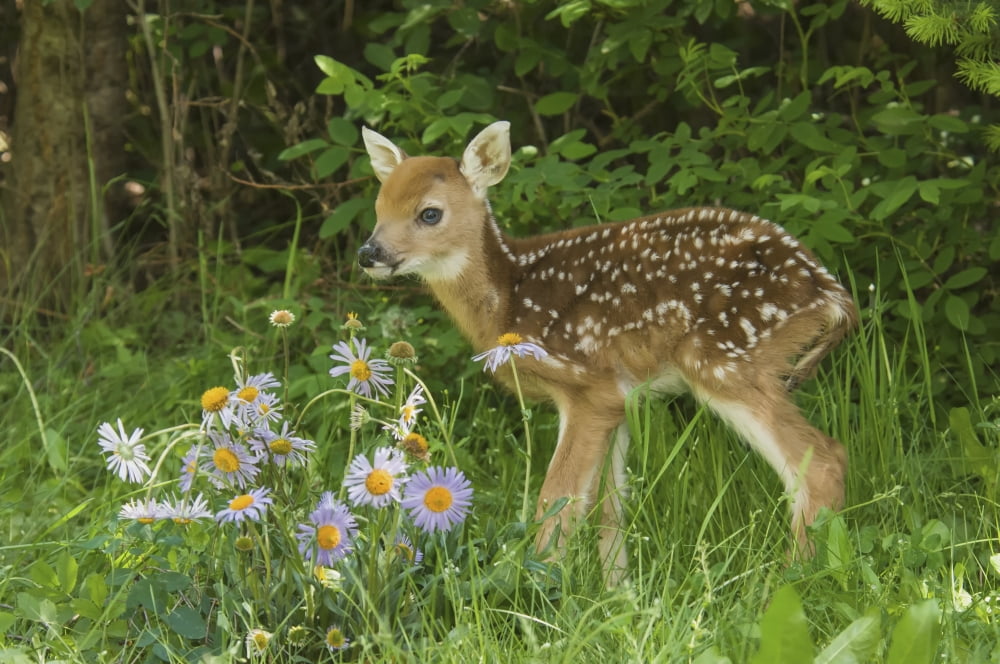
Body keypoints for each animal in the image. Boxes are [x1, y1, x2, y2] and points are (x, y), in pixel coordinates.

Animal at [358, 121, 857, 585]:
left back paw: (791, 578)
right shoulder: (620, 398)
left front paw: (541, 594)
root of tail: (828, 293)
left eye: (429, 213)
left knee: (821, 461)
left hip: (725, 357)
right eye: (378, 209)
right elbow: (609, 506)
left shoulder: (586, 386)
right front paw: (619, 593)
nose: (368, 253)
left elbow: (557, 499)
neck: (509, 300)